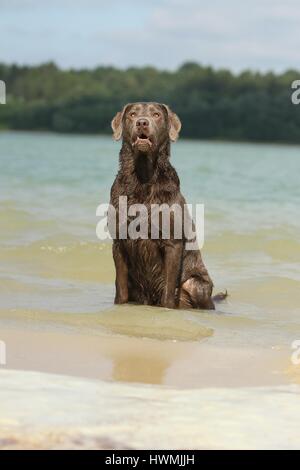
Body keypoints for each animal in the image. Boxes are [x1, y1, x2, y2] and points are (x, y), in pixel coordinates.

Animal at [109, 102, 226, 308]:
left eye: (156, 114)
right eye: (132, 114)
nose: (142, 122)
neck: (143, 178)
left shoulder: (173, 243)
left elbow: (168, 292)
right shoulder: (119, 242)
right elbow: (121, 289)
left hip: (196, 284)